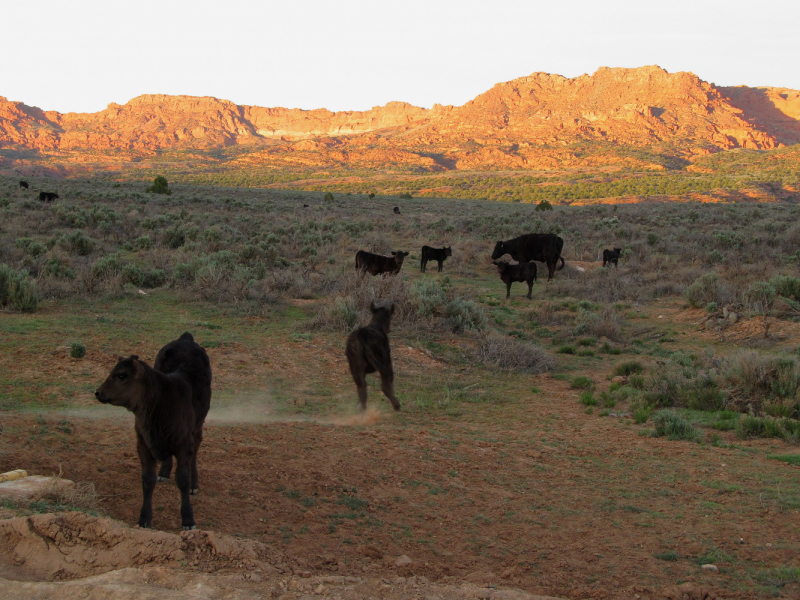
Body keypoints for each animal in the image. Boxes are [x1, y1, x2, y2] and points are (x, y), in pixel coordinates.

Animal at [95, 330, 212, 532]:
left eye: (121, 375)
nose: (98, 392)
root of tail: (186, 339)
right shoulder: (143, 443)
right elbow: (147, 480)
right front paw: (144, 518)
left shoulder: (183, 444)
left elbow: (182, 479)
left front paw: (188, 519)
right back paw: (164, 472)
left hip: (197, 425)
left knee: (196, 448)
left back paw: (194, 483)